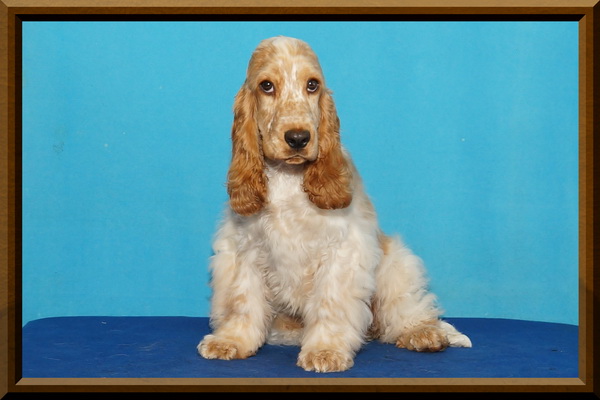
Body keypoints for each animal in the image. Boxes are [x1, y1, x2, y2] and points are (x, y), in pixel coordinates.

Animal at [197, 36, 471, 373]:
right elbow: (243, 301)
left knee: (406, 308)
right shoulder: (244, 249)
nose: (298, 138)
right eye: (266, 86)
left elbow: (331, 303)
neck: (289, 177)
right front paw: (232, 340)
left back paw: (423, 333)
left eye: (312, 85)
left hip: (396, 263)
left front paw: (325, 350)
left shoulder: (342, 250)